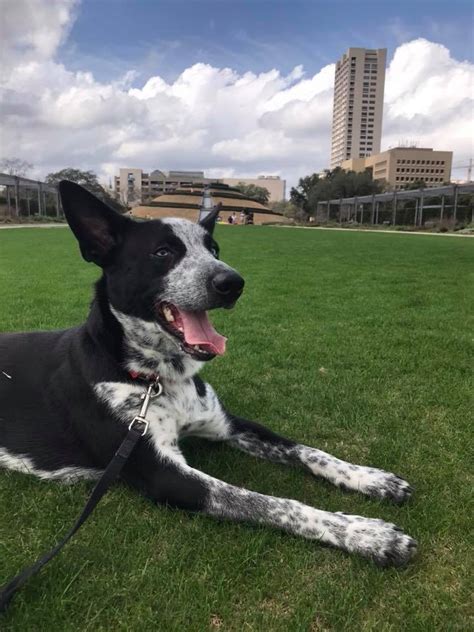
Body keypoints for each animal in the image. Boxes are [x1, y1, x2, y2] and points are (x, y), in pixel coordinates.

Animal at [0, 180, 414, 564]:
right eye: (163, 252)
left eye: (214, 250)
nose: (233, 282)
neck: (158, 379)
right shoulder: (165, 475)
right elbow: (271, 502)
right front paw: (365, 533)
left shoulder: (228, 424)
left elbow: (308, 451)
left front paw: (370, 478)